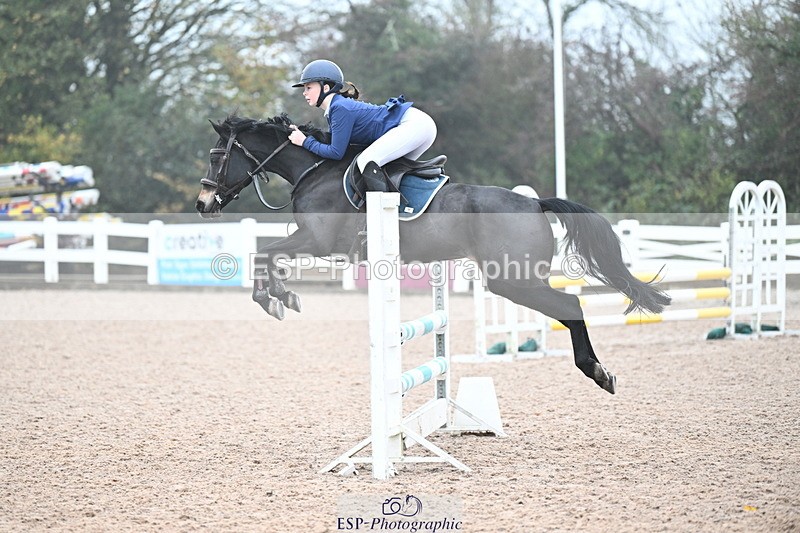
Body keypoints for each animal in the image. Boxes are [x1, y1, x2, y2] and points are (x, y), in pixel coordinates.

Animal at [196, 114, 671, 394]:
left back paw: (597, 371)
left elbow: (263, 253)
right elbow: (265, 255)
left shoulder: (317, 241)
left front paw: (275, 298)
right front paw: (280, 296)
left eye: (217, 157)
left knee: (570, 304)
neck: (314, 168)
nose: (203, 204)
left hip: (511, 278)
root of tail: (535, 203)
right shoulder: (311, 241)